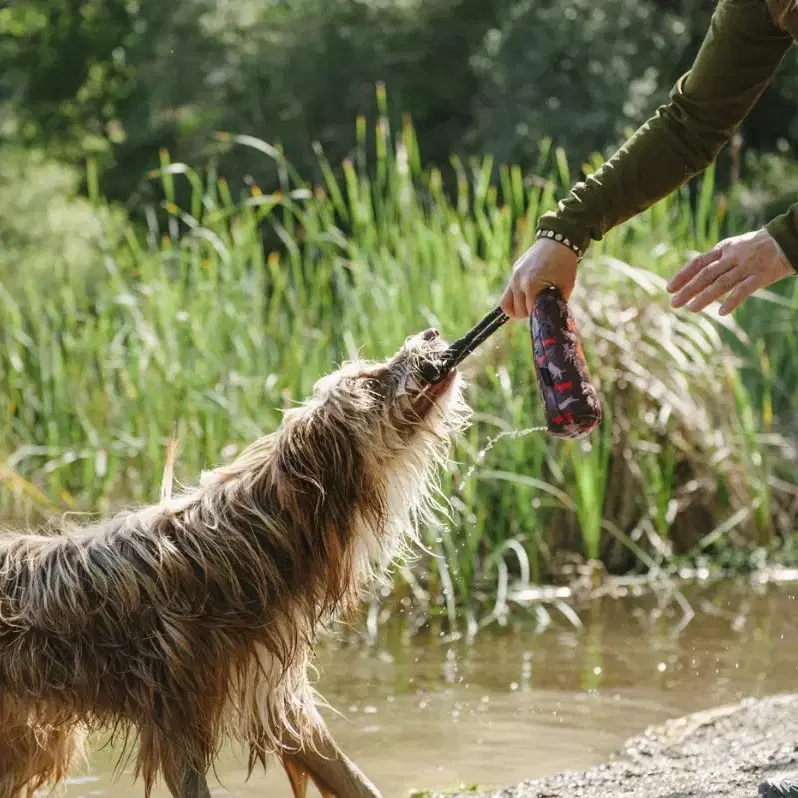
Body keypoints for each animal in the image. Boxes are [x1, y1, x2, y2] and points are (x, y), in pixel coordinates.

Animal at [0, 328, 468, 796]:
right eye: (371, 379)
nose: (430, 333)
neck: (254, 542)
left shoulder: (276, 691)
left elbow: (350, 776)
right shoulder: (177, 716)